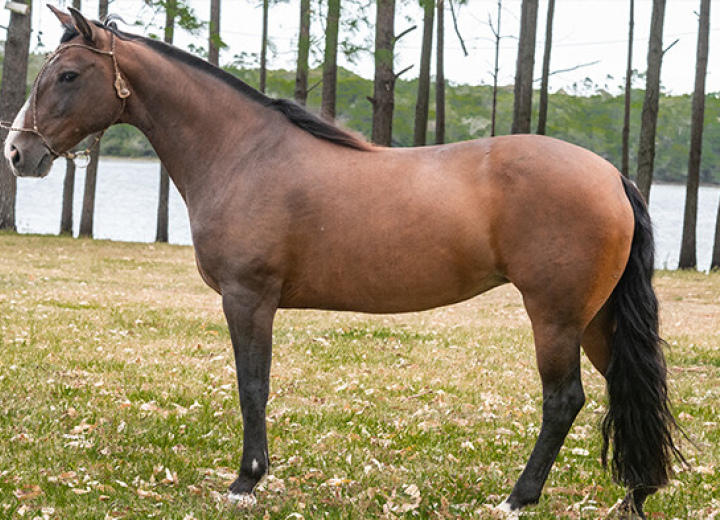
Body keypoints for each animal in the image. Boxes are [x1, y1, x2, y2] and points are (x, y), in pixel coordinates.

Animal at [2, 7, 684, 516]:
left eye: (68, 75)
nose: (17, 153)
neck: (244, 152)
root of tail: (611, 174)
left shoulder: (248, 297)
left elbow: (252, 385)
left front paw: (245, 481)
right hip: (595, 319)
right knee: (626, 386)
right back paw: (634, 494)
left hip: (556, 316)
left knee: (563, 399)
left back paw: (518, 498)